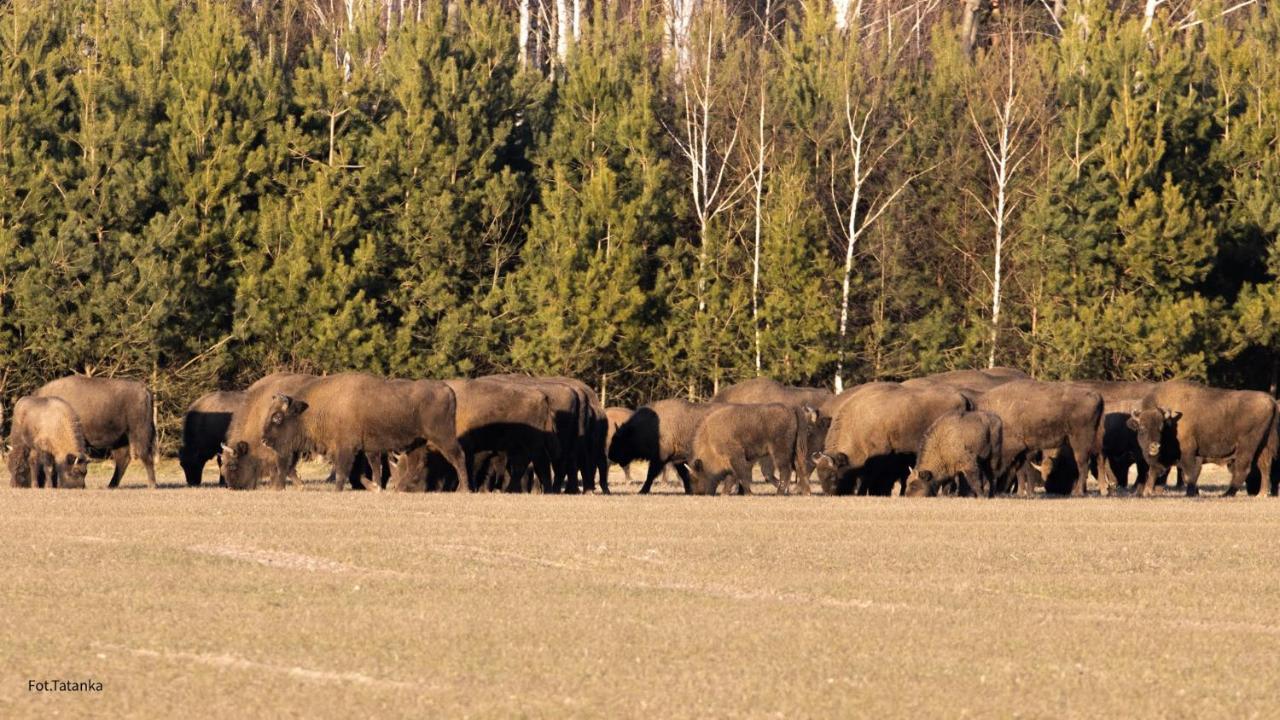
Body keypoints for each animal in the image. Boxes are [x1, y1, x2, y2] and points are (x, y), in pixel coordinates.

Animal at [259, 371, 465, 489]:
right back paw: (399, 489)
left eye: (277, 417)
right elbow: (369, 471)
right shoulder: (364, 449)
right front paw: (376, 487)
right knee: (416, 464)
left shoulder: (345, 449)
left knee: (458, 457)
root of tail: (447, 389)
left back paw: (464, 489)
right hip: (417, 441)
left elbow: (342, 473)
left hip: (443, 437)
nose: (264, 440)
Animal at [686, 399, 814, 497]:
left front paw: (748, 493)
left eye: (696, 477)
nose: (698, 493)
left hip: (780, 451)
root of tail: (791, 408)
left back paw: (779, 493)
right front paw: (725, 493)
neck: (710, 438)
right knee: (799, 465)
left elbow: (742, 475)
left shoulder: (737, 457)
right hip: (796, 450)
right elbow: (733, 476)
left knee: (786, 469)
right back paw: (806, 492)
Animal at [808, 384, 967, 497]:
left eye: (832, 475)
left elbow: (870, 479)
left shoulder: (878, 460)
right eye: (820, 475)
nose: (830, 494)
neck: (858, 424)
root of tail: (963, 398)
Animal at [972, 381, 1105, 491]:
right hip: (1094, 439)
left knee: (1083, 464)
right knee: (1098, 459)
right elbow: (1021, 471)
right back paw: (1103, 490)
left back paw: (1079, 492)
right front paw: (1022, 493)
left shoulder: (1013, 448)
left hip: (1080, 441)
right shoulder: (1023, 451)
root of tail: (1097, 395)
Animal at [1126, 379, 1274, 497]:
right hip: (1262, 446)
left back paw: (1227, 494)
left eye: (1161, 427)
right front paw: (1146, 492)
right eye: (1142, 428)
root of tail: (1271, 400)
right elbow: (1155, 471)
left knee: (1243, 469)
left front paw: (1190, 493)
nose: (1155, 446)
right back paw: (1261, 494)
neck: (1172, 423)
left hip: (1247, 446)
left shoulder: (1188, 453)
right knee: (1265, 467)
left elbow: (1189, 474)